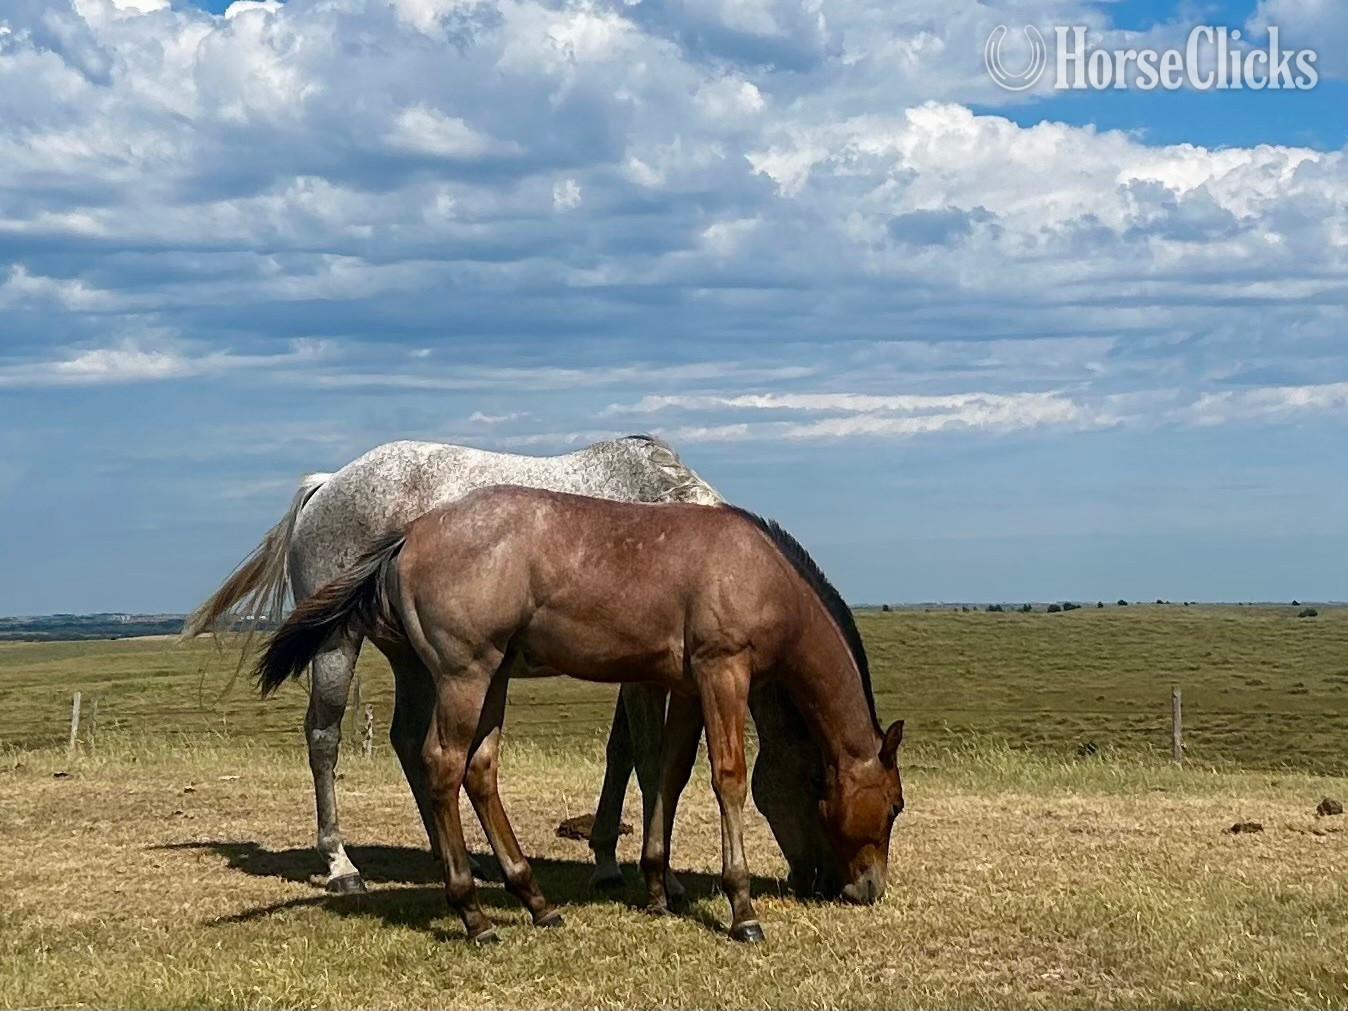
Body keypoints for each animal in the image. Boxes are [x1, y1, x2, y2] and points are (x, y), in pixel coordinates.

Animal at [182, 436, 836, 896]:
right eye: (815, 781)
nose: (826, 882)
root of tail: (326, 486)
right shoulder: (648, 675)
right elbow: (650, 763)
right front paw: (662, 877)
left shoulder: (633, 669)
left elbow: (621, 753)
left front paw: (607, 860)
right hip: (337, 647)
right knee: (323, 737)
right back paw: (342, 865)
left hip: (416, 659)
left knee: (409, 742)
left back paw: (461, 860)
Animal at [255, 485, 905, 943]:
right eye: (896, 805)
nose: (868, 888)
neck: (759, 570)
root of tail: (409, 533)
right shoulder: (724, 672)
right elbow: (727, 779)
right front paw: (741, 909)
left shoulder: (687, 685)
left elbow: (670, 772)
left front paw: (657, 888)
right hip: (465, 675)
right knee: (442, 764)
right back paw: (473, 914)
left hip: (494, 677)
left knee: (480, 770)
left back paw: (536, 901)